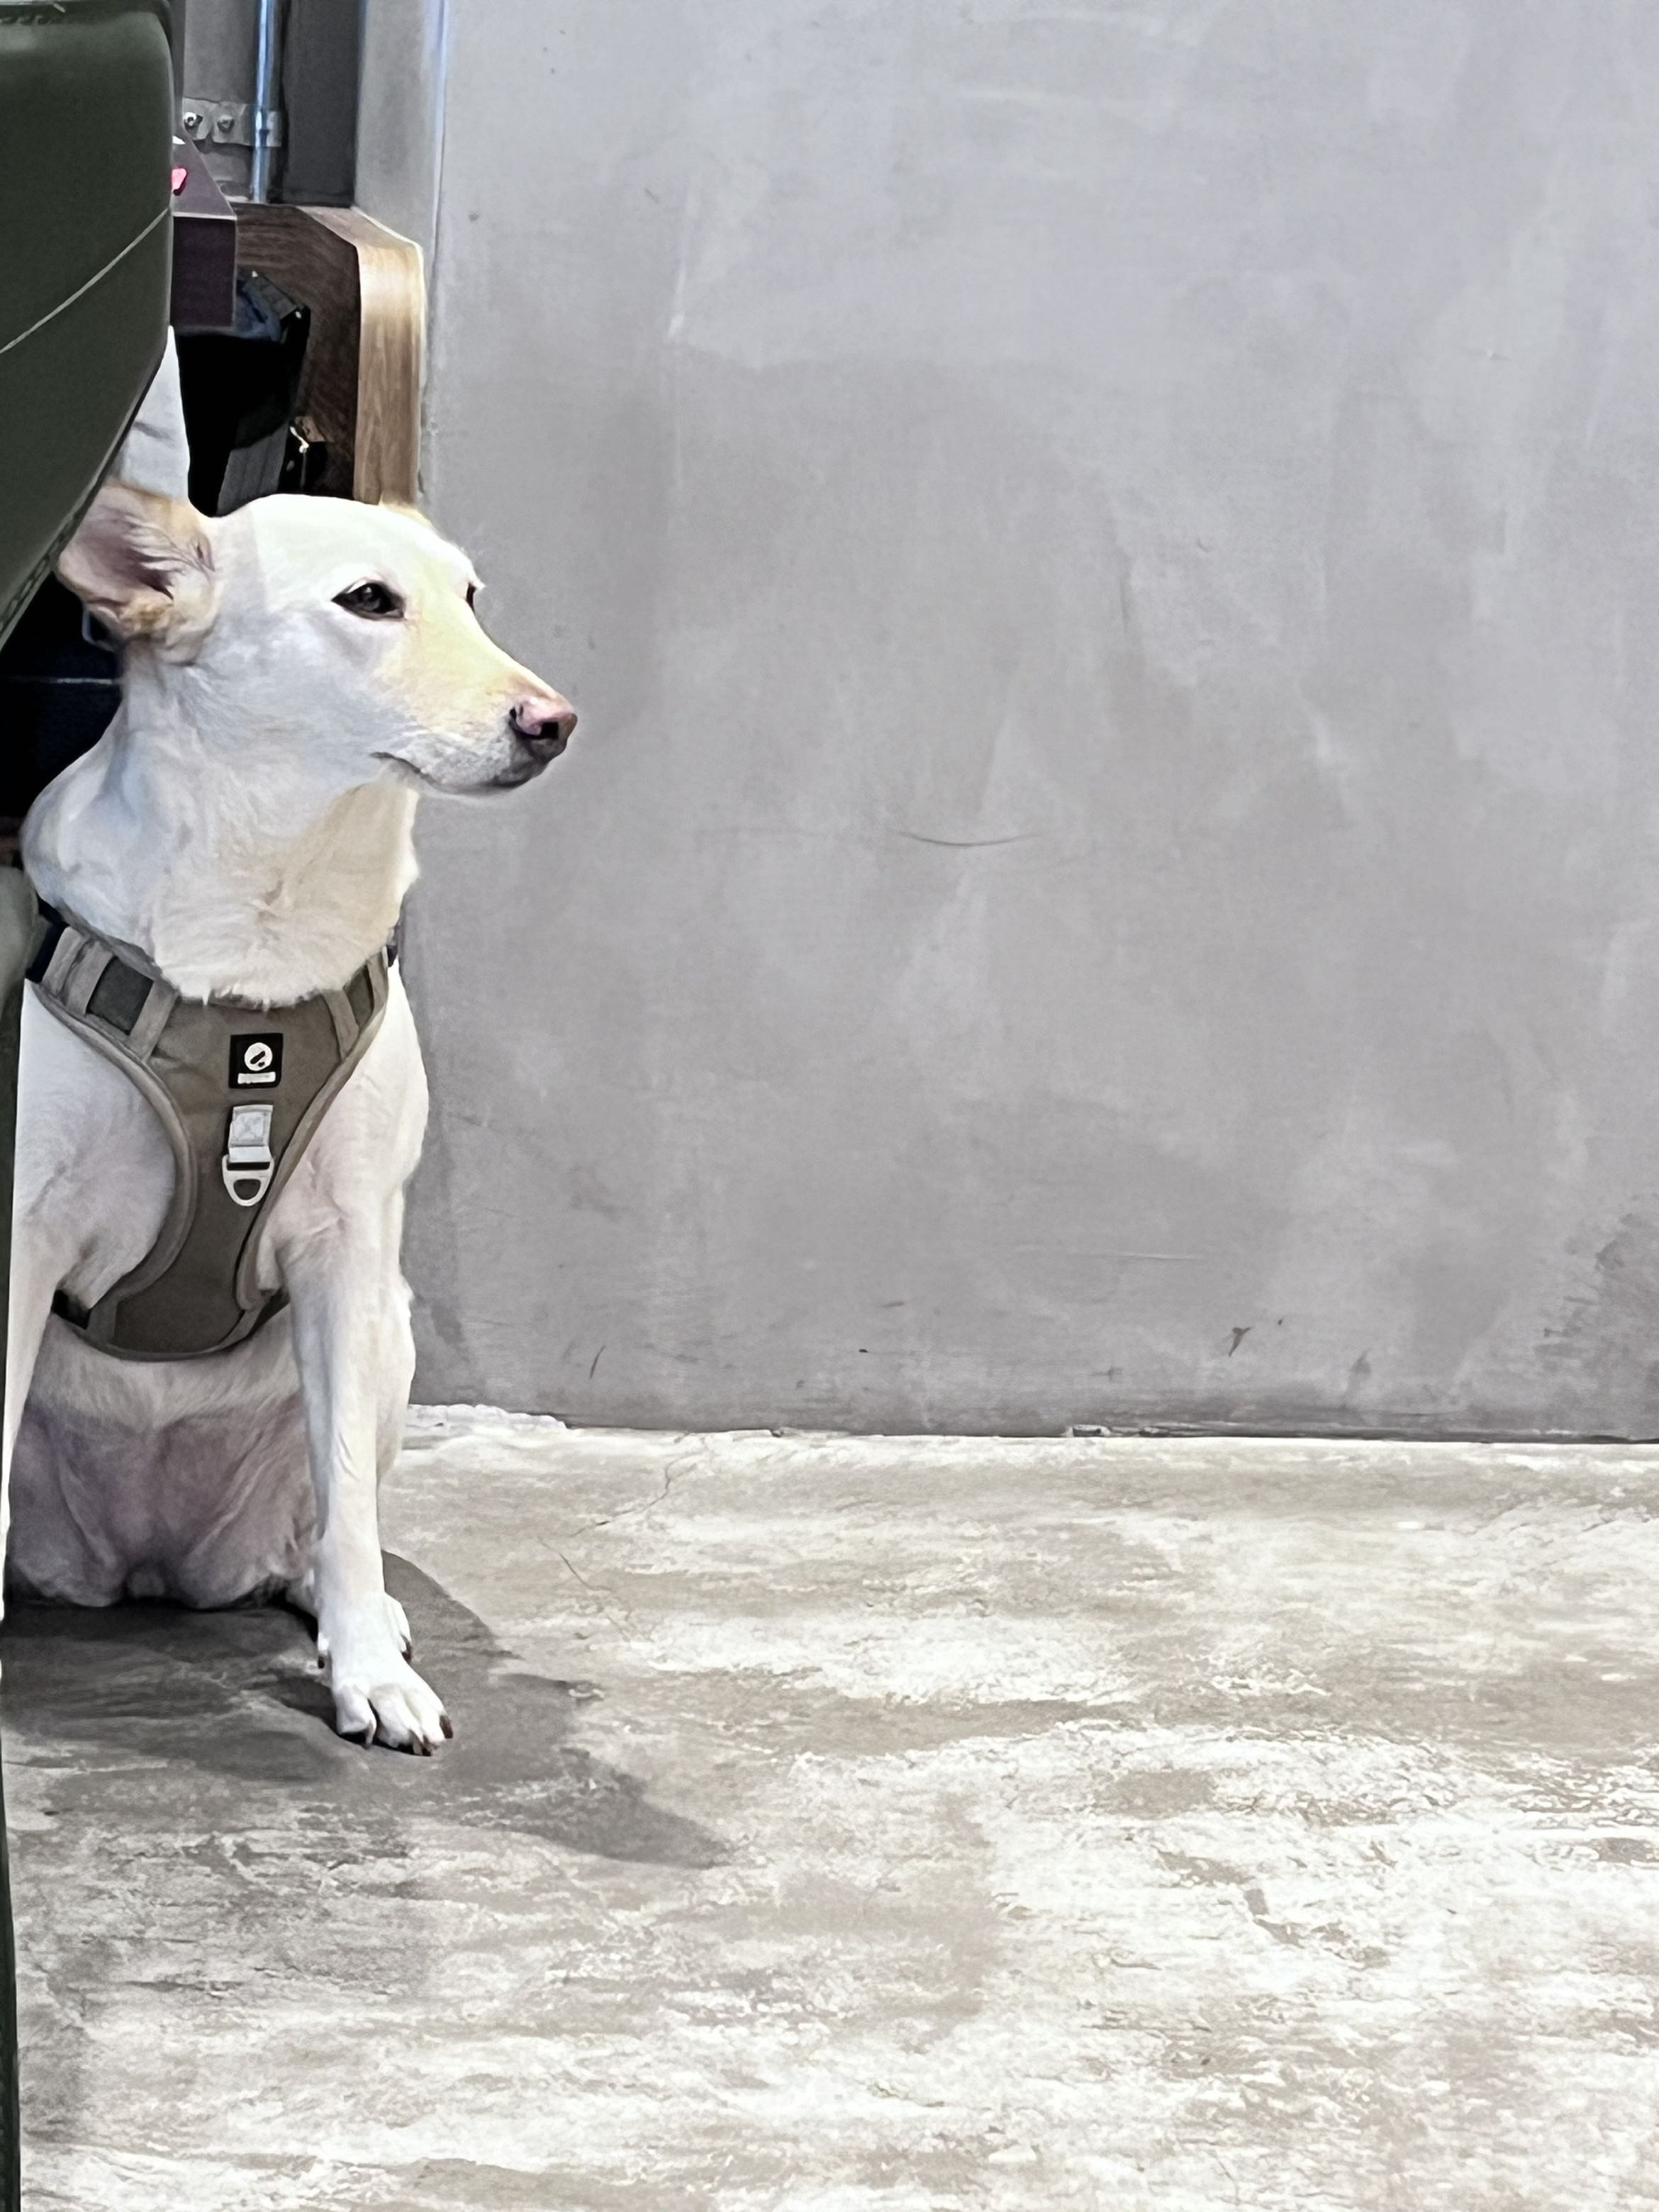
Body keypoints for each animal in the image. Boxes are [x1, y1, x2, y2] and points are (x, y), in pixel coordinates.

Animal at [3, 482, 574, 1751]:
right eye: (369, 601)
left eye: (471, 598)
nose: (553, 723)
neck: (264, 920)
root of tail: (148, 1563)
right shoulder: (20, 1237)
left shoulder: (348, 1247)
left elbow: (351, 1494)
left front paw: (366, 1671)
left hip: (391, 1337)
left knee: (326, 1514)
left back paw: (346, 1605)